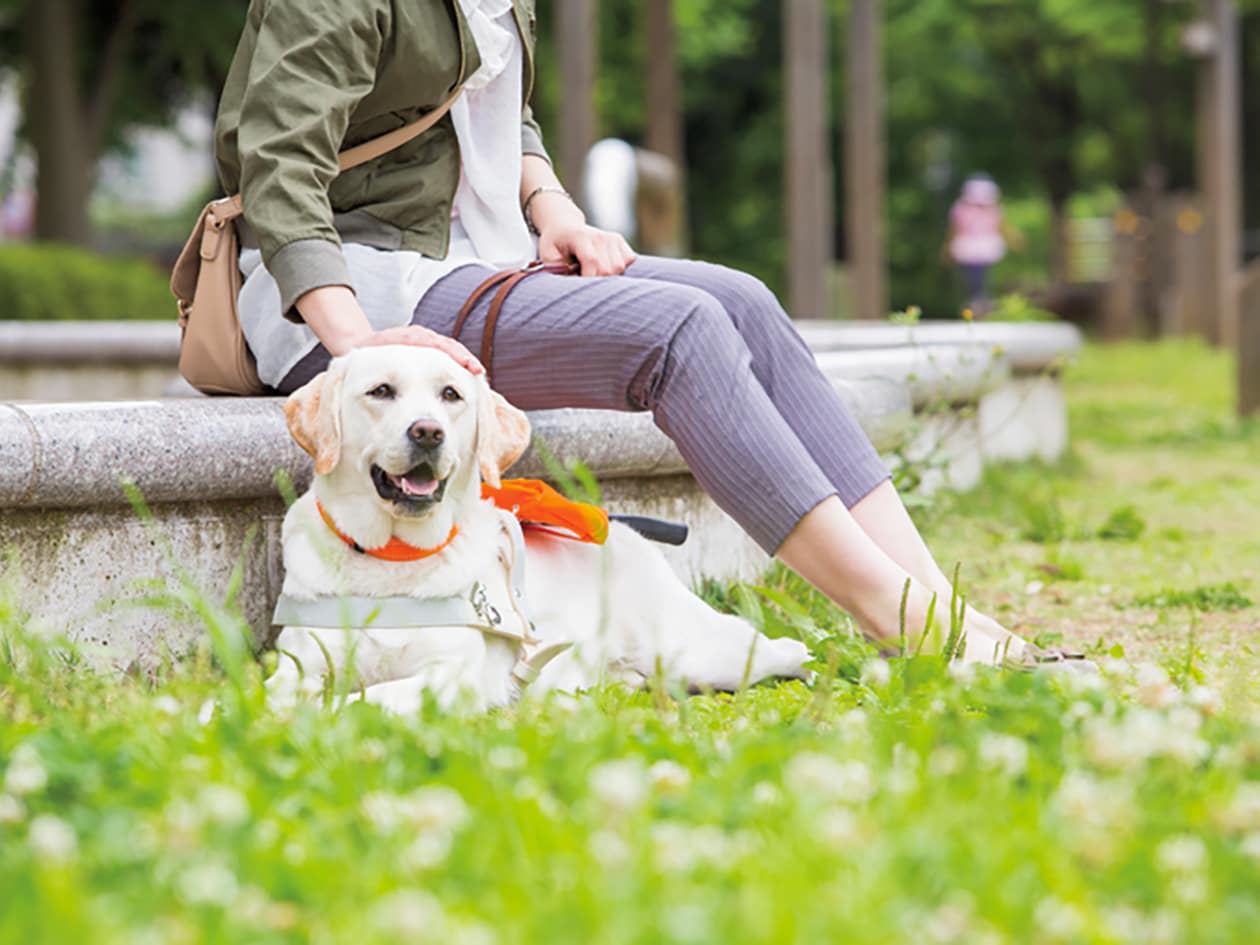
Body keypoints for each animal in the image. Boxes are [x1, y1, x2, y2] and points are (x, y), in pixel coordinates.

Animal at [269, 345, 811, 715]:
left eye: (450, 395)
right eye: (380, 391)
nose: (428, 431)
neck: (388, 558)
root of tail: (626, 533)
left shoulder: (448, 677)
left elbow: (365, 699)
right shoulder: (297, 667)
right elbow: (272, 696)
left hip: (696, 651)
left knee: (783, 650)